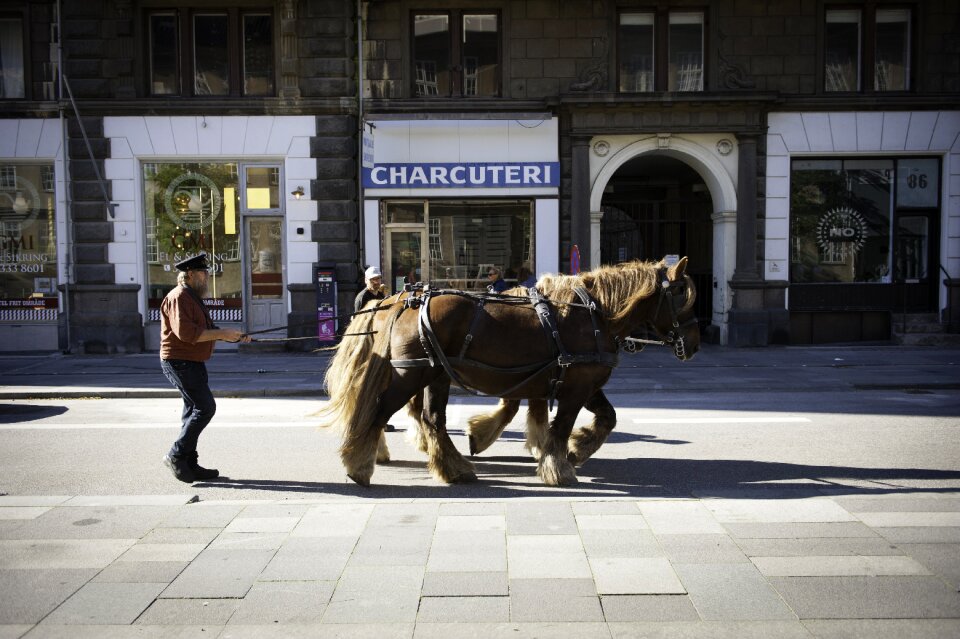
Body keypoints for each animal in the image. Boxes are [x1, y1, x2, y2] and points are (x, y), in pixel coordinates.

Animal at [318, 258, 700, 488]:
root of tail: (402, 301)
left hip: (434, 375)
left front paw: (576, 449)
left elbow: (606, 418)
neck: (593, 313)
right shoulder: (575, 387)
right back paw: (359, 463)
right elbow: (561, 426)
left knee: (430, 418)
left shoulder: (580, 382)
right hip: (413, 375)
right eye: (682, 294)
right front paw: (559, 466)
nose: (695, 343)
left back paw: (452, 466)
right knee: (382, 412)